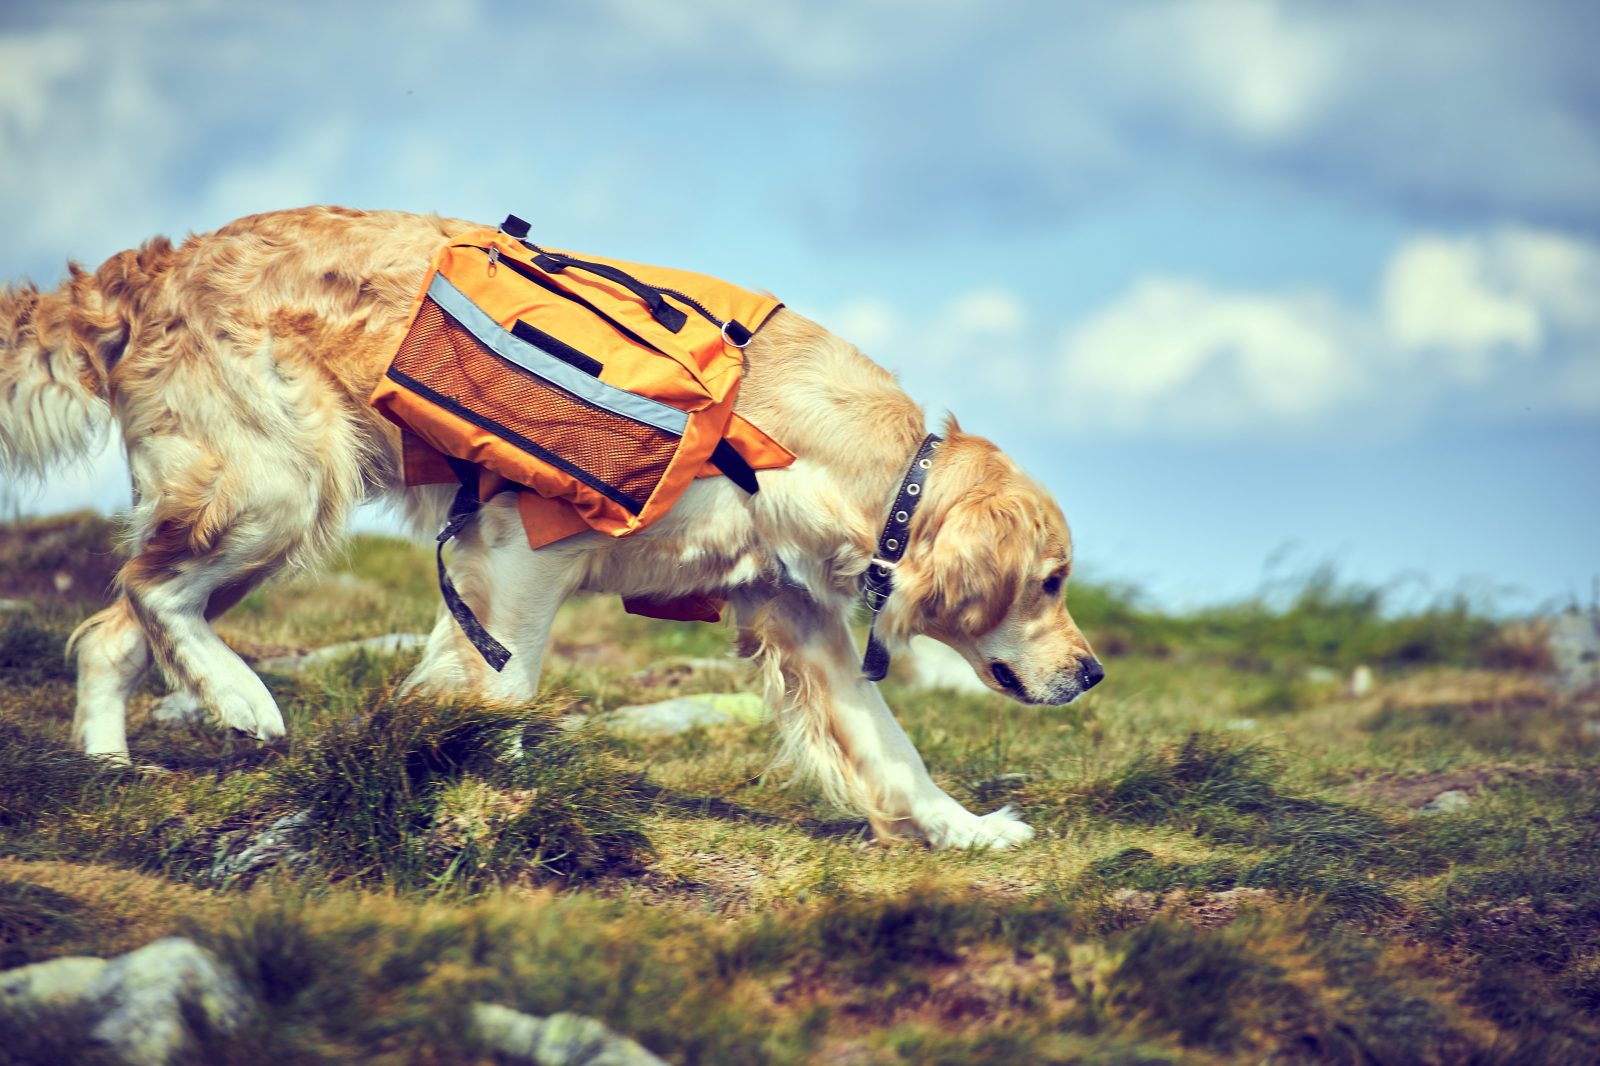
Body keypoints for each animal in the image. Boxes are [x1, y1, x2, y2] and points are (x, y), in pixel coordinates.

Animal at [0, 208, 1100, 845]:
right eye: (1050, 582)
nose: (1090, 673)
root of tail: (153, 265)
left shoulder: (801, 620)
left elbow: (893, 750)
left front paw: (967, 830)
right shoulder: (520, 547)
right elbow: (506, 684)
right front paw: (488, 782)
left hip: (258, 517)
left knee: (111, 632)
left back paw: (111, 765)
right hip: (279, 487)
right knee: (148, 593)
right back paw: (237, 698)